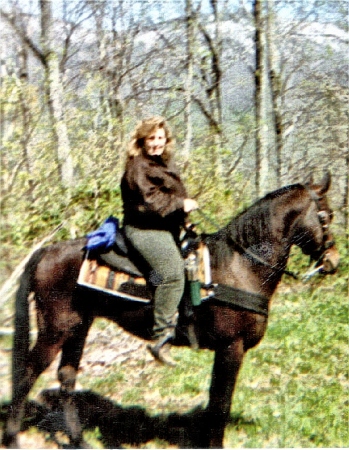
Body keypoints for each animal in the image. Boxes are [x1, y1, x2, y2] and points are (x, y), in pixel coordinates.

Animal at [2, 172, 338, 446]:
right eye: (327, 215)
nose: (333, 261)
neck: (239, 266)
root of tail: (47, 251)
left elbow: (215, 401)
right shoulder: (231, 347)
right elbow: (220, 406)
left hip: (78, 326)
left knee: (67, 377)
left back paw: (78, 440)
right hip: (54, 329)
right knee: (28, 374)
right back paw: (13, 437)